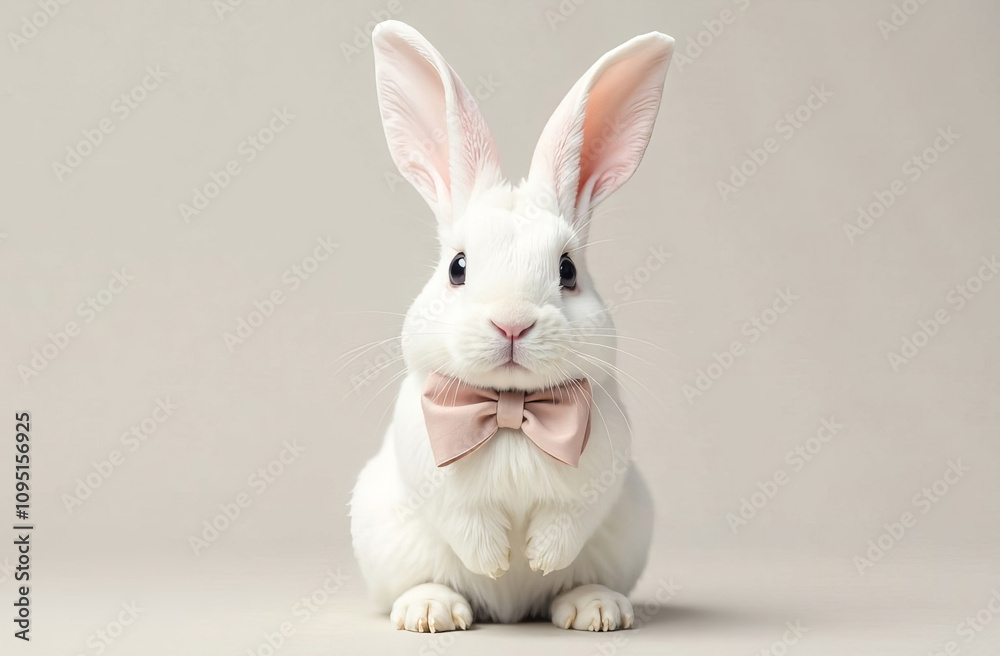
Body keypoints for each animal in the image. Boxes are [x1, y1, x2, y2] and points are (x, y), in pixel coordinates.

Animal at [350, 20, 674, 632]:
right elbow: (467, 522)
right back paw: (430, 612)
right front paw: (497, 562)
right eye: (457, 267)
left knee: (574, 583)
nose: (512, 323)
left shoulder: (597, 476)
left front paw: (538, 558)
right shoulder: (435, 475)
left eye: (568, 271)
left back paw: (596, 610)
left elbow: (565, 523)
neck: (511, 411)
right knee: (423, 581)